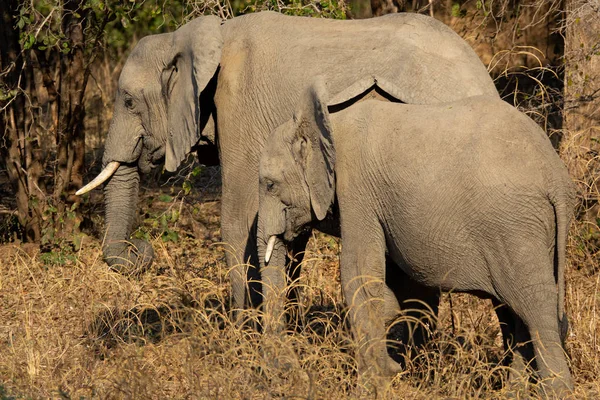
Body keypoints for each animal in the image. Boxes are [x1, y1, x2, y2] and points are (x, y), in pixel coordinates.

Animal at [77, 11, 500, 324]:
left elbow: (238, 219)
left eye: (128, 101)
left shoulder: (241, 107)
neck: (197, 36)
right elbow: (286, 234)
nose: (141, 251)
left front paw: (244, 336)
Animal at [258, 79, 576, 396]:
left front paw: (373, 385)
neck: (327, 123)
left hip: (514, 228)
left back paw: (557, 392)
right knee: (521, 314)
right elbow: (395, 286)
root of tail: (556, 177)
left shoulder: (356, 189)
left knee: (535, 311)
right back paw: (513, 393)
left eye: (270, 185)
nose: (291, 372)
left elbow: (359, 275)